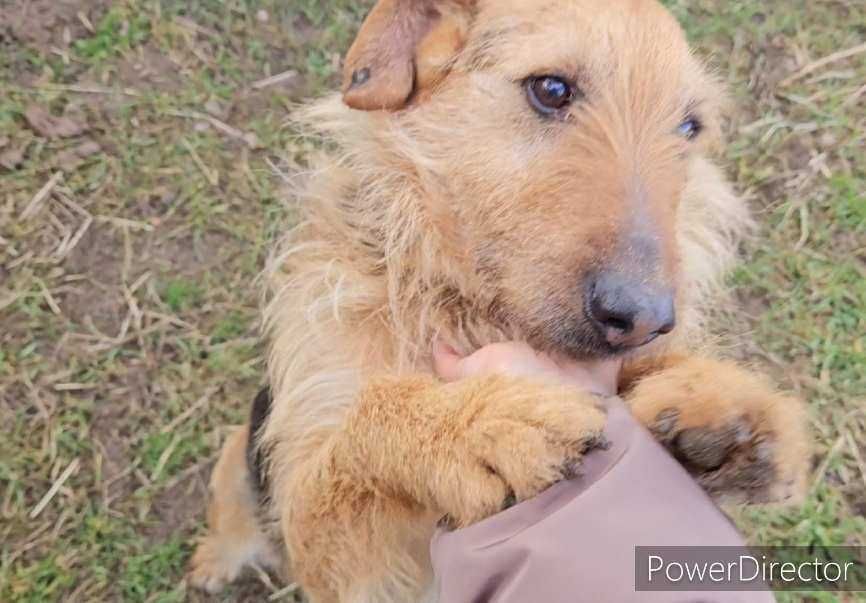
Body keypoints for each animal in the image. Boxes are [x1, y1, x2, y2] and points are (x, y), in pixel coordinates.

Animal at [187, 0, 808, 600]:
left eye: (688, 126)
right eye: (551, 89)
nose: (643, 319)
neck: (465, 307)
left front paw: (727, 407)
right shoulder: (333, 551)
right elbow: (363, 426)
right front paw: (474, 426)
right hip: (242, 456)